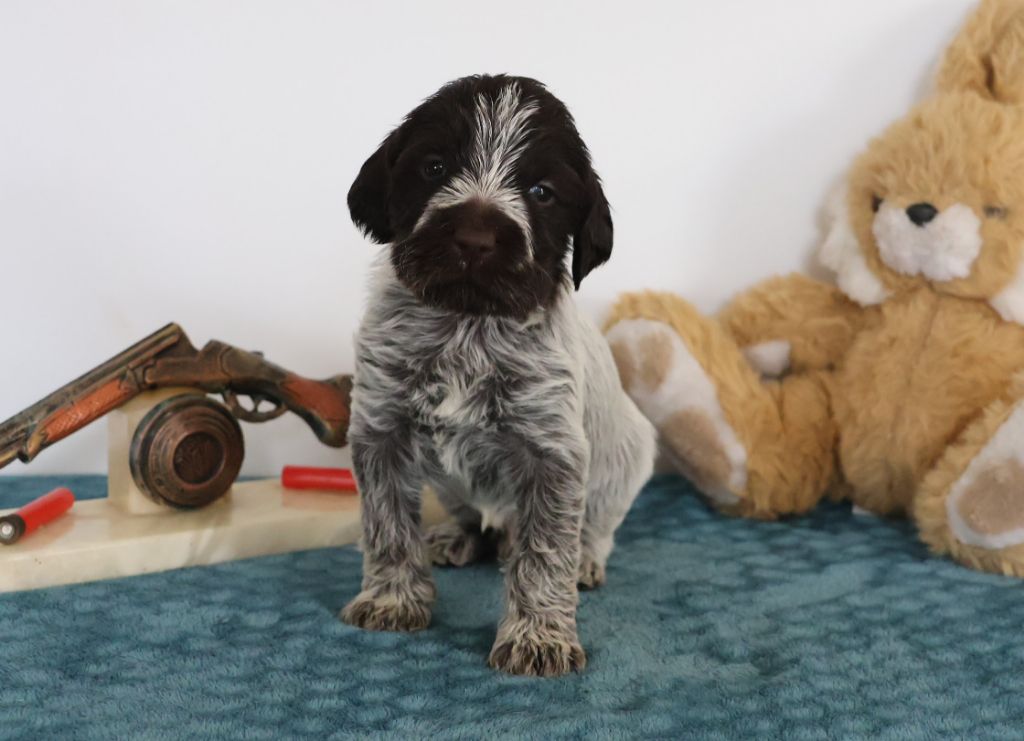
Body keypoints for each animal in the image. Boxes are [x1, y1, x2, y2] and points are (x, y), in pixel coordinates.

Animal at [337, 76, 655, 675]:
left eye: (541, 191)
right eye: (435, 167)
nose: (475, 239)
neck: (468, 323)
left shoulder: (552, 454)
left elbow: (545, 552)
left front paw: (539, 636)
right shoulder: (380, 429)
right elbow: (387, 525)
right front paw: (392, 598)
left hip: (627, 458)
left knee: (593, 528)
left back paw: (585, 559)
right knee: (476, 522)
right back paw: (458, 539)